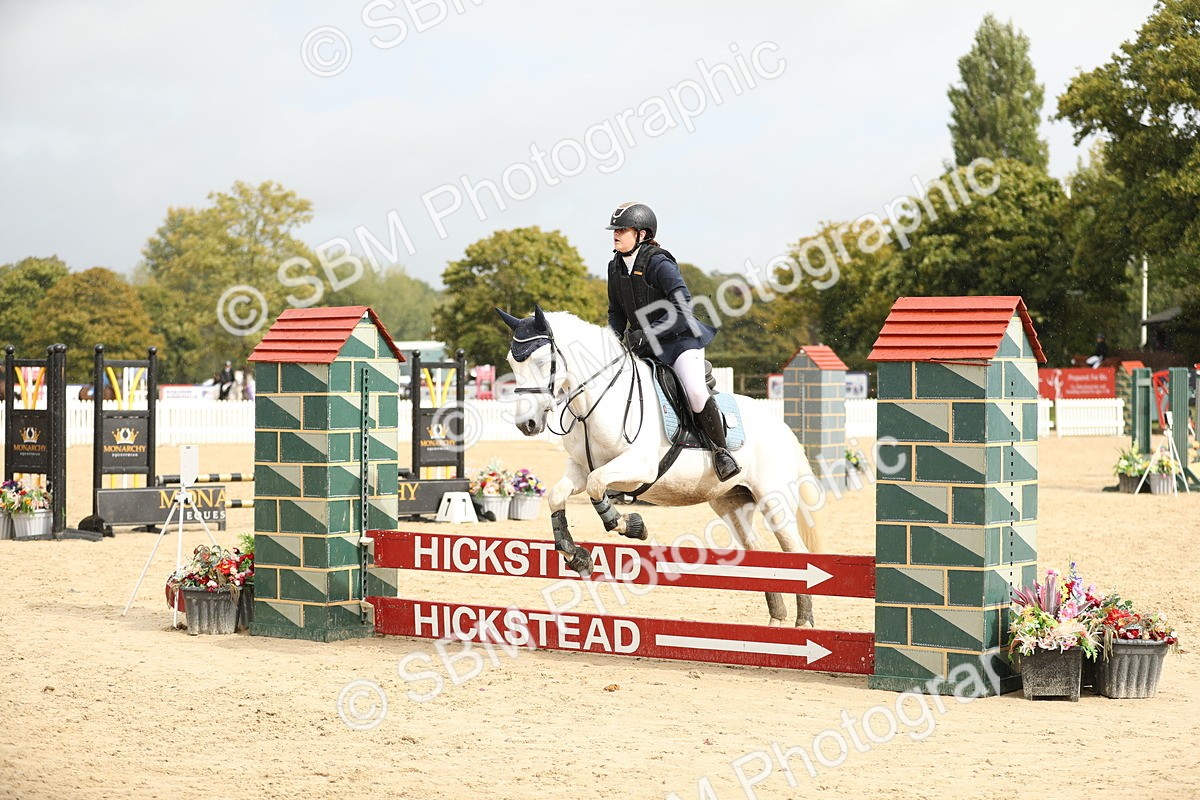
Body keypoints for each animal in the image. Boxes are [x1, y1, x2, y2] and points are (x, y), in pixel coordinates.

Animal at [497, 306, 825, 627]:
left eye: (543, 362)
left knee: (796, 551)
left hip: (773, 499)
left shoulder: (639, 468)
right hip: (731, 502)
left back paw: (803, 622)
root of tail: (783, 428)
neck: (597, 400)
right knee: (759, 552)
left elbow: (597, 485)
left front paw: (630, 525)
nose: (527, 424)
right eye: (511, 362)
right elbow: (559, 495)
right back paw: (777, 618)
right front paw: (576, 555)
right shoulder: (579, 468)